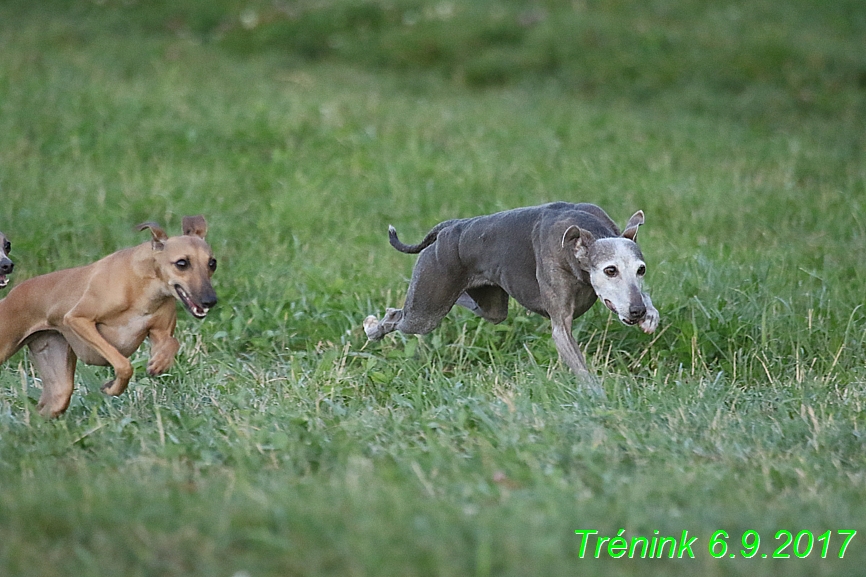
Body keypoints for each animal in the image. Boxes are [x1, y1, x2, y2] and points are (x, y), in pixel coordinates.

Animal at [0, 214, 216, 416]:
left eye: (212, 263)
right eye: (182, 263)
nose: (210, 300)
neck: (143, 287)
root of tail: (11, 294)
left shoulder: (159, 333)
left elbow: (172, 342)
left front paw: (159, 363)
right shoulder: (78, 320)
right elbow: (124, 364)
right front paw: (113, 388)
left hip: (57, 382)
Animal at [362, 200, 660, 394]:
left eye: (641, 269)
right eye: (610, 270)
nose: (636, 312)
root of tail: (451, 227)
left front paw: (650, 317)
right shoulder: (560, 326)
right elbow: (578, 362)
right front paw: (597, 396)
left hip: (487, 305)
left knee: (466, 302)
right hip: (427, 308)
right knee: (399, 315)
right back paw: (373, 327)